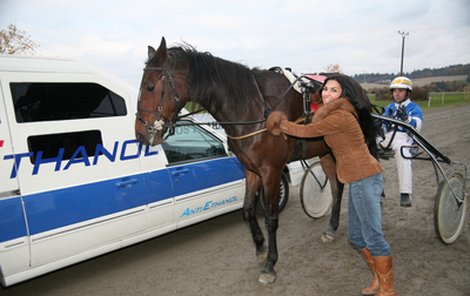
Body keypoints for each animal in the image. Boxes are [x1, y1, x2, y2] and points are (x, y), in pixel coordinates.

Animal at [134, 37, 344, 284]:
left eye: (150, 87)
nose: (139, 133)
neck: (257, 109)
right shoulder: (251, 170)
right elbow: (248, 210)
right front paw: (260, 246)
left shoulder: (272, 171)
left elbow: (271, 218)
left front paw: (270, 264)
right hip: (326, 152)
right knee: (336, 187)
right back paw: (331, 228)